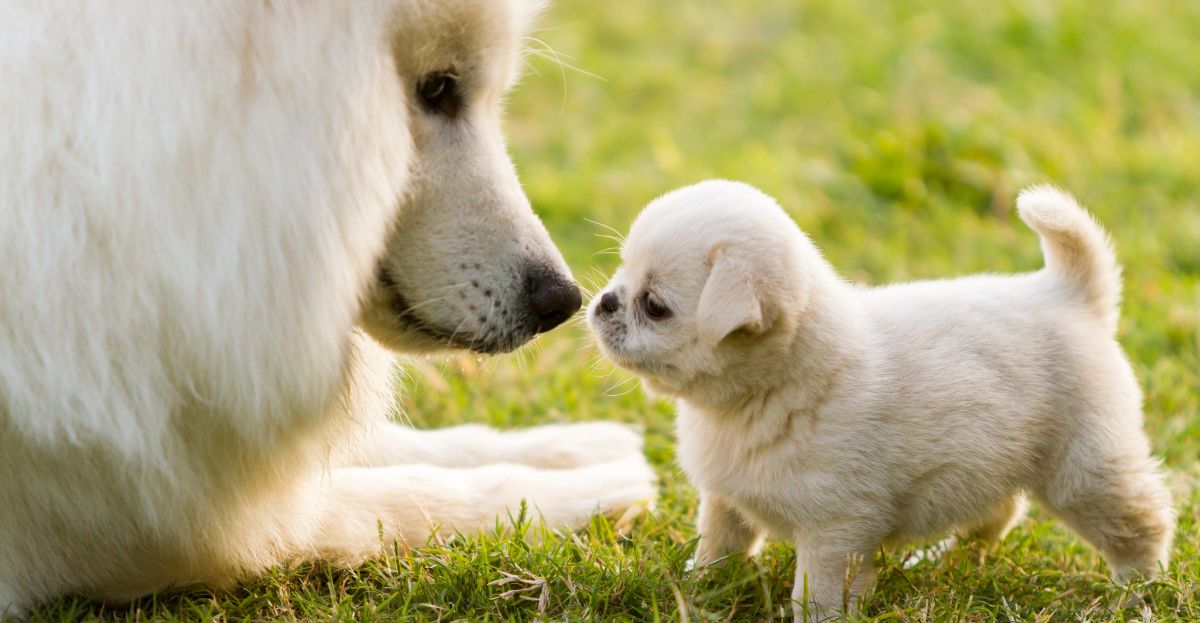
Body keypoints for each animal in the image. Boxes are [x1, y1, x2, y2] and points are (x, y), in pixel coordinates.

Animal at [0, 0, 657, 614]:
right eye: (437, 89)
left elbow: (402, 445)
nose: (562, 300)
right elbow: (407, 496)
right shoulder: (138, 519)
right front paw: (589, 491)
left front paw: (573, 447)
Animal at [588, 180, 1171, 619]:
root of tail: (1069, 293)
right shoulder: (726, 503)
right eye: (622, 273)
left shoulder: (834, 533)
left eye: (655, 306)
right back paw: (948, 560)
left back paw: (1136, 592)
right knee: (1000, 512)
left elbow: (815, 595)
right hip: (991, 463)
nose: (605, 302)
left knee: (1141, 525)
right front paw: (699, 592)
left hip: (1085, 472)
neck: (761, 393)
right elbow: (716, 551)